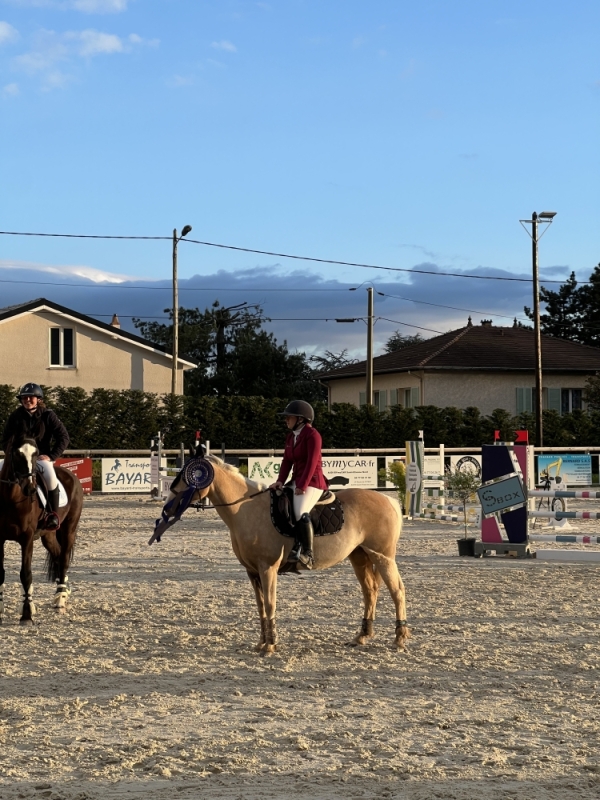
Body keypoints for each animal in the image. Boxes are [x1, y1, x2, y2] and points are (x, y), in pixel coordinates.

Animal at [0, 438, 83, 624]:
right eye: (16, 454)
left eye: (36, 454)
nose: (30, 489)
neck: (10, 499)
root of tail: (71, 475)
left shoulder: (27, 538)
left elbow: (26, 574)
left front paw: (27, 614)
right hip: (48, 535)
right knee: (58, 555)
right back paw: (62, 591)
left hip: (69, 529)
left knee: (64, 558)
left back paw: (60, 598)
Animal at [163, 456, 408, 656]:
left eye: (187, 477)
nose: (168, 508)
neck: (246, 508)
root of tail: (389, 500)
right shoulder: (252, 572)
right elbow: (261, 607)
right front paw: (262, 643)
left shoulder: (268, 568)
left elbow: (270, 604)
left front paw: (270, 646)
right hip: (360, 556)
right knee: (370, 591)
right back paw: (362, 636)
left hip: (383, 557)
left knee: (397, 590)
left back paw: (400, 638)